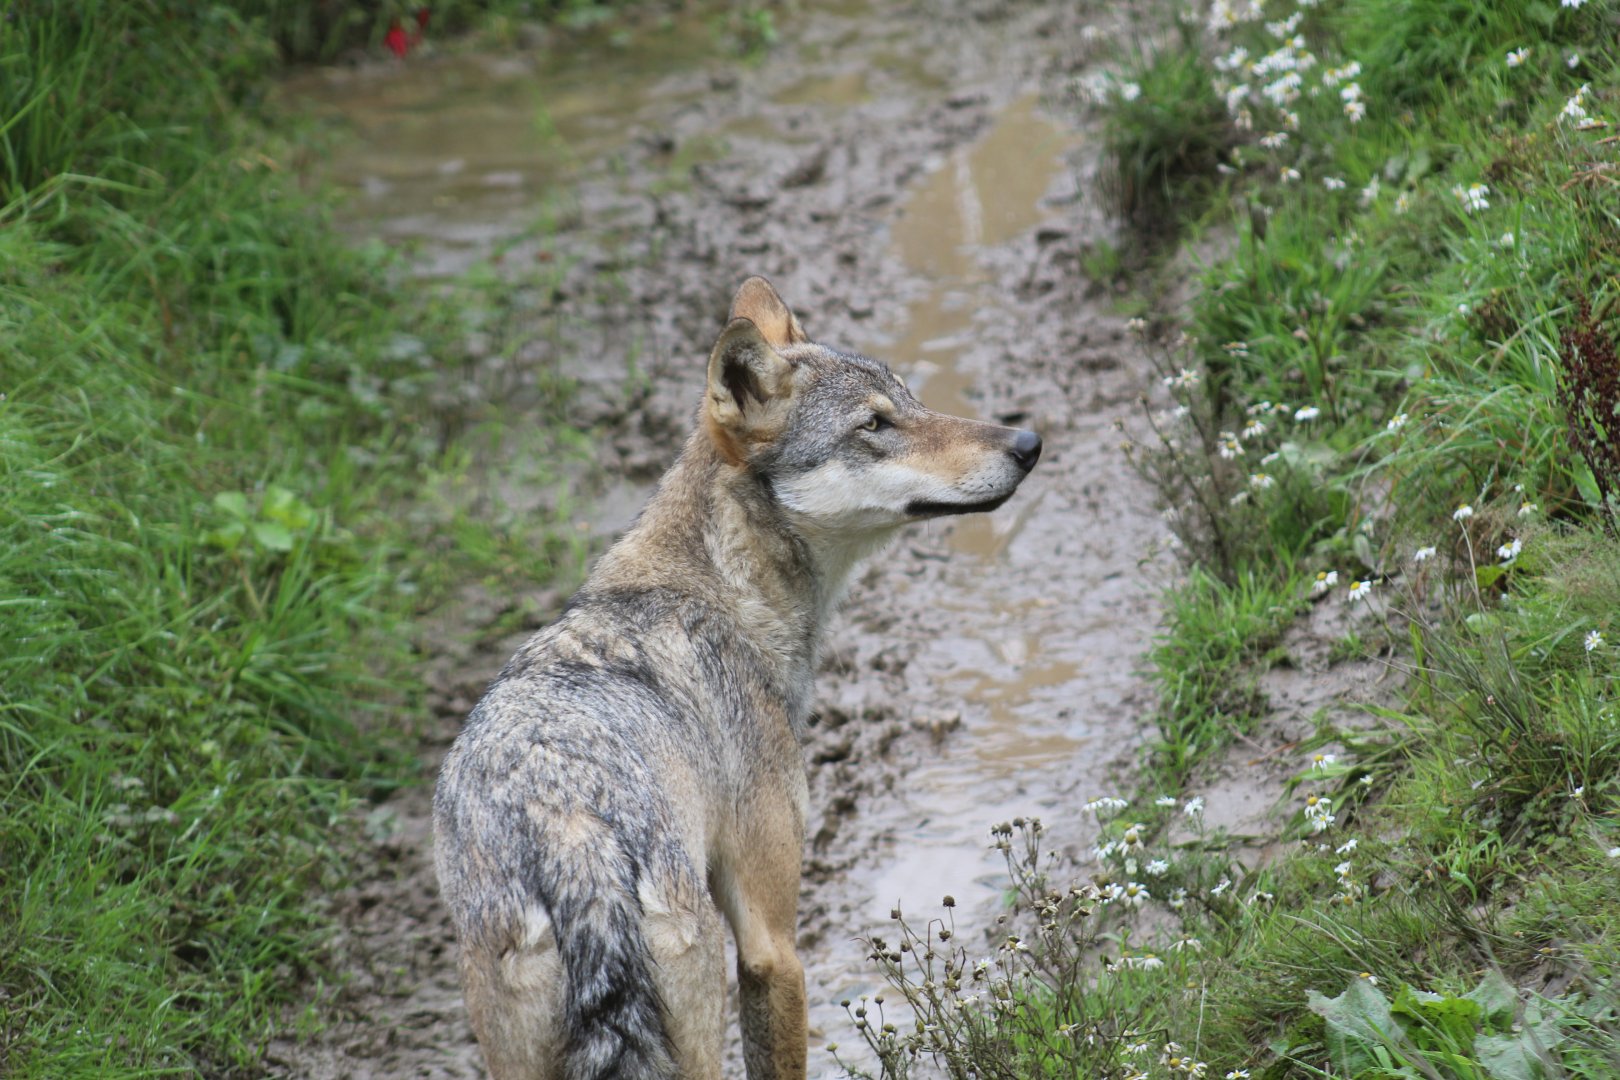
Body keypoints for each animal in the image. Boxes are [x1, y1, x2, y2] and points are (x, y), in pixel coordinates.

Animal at [433, 277, 1041, 1080]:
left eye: (911, 401)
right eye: (875, 425)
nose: (1028, 444)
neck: (722, 591)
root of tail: (573, 844)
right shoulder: (771, 944)